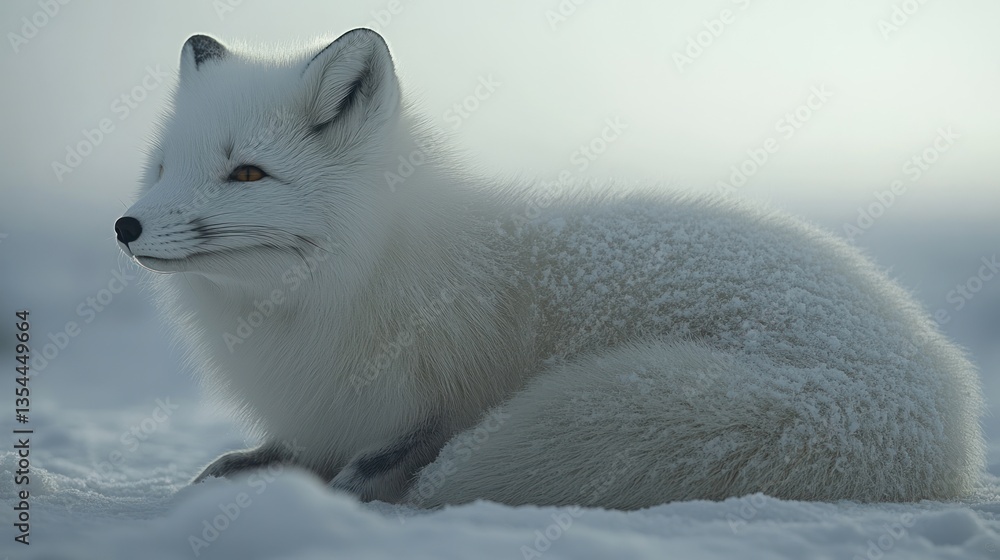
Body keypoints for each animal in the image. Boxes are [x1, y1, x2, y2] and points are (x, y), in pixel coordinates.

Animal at [115, 28, 984, 509]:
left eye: (246, 174)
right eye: (160, 168)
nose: (126, 227)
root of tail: (954, 410)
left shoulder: (426, 404)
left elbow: (391, 451)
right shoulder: (325, 412)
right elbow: (277, 455)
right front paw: (243, 468)